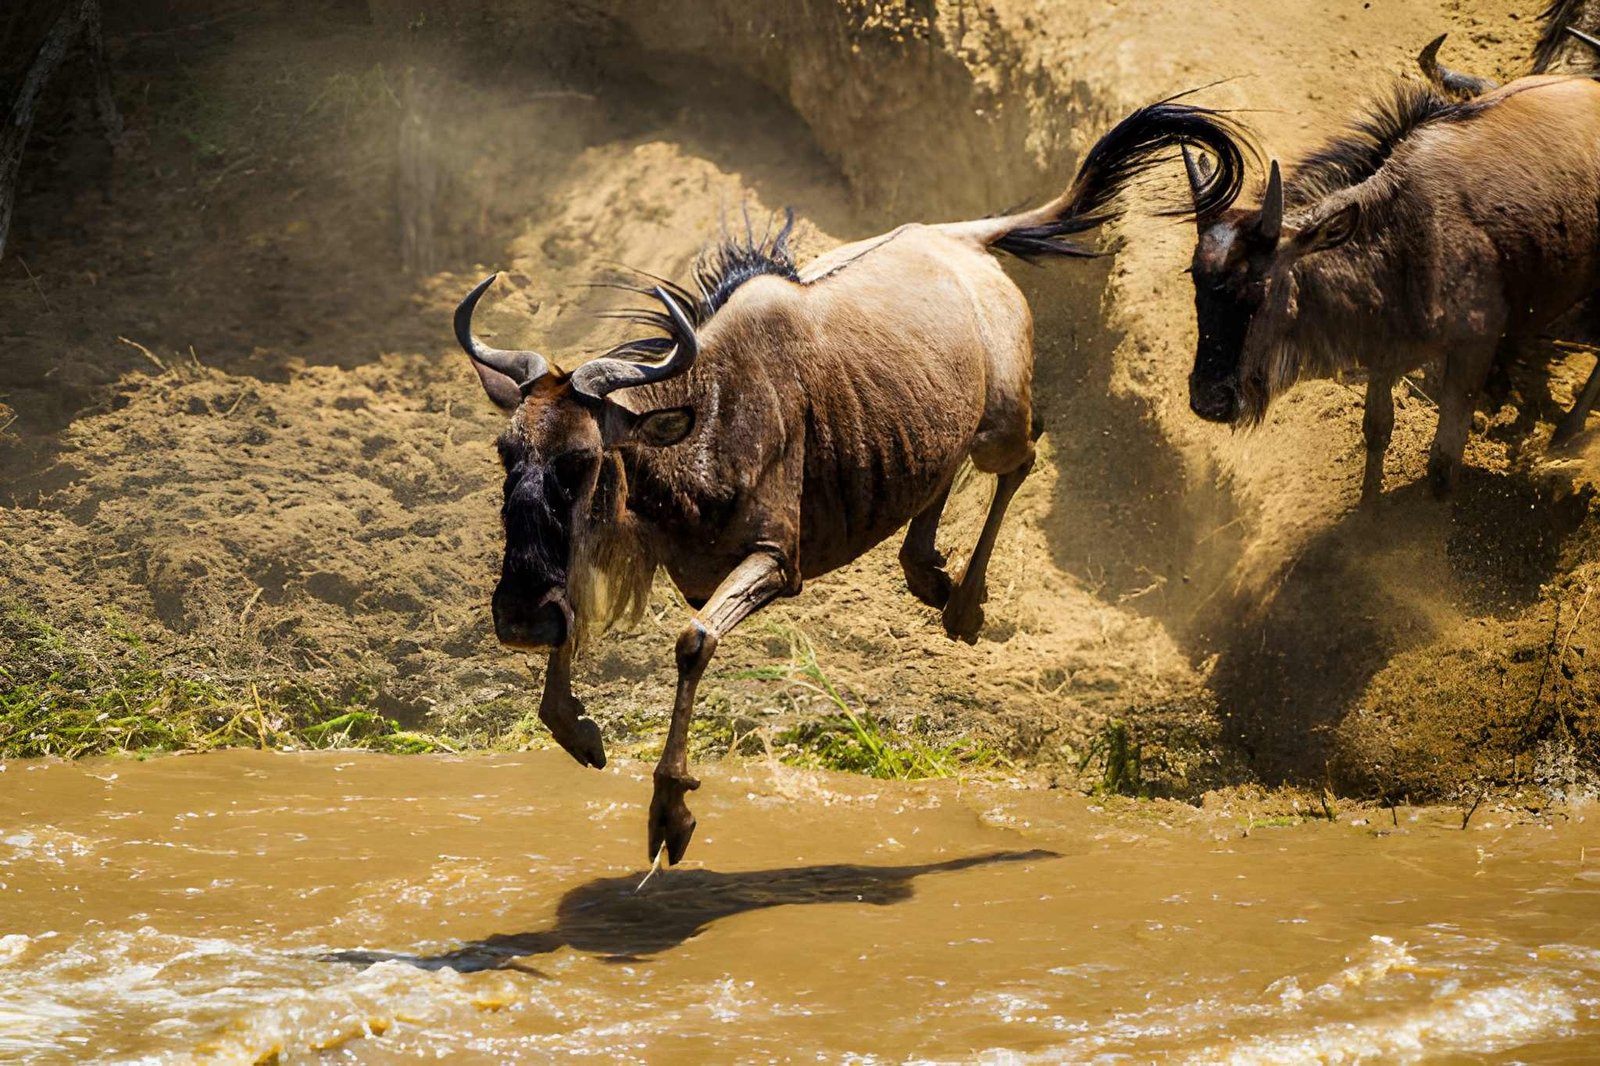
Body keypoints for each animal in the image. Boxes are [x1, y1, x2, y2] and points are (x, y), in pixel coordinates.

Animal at [455, 100, 1243, 864]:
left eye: (584, 462)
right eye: (506, 451)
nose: (518, 619)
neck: (705, 418)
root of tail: (961, 239)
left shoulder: (777, 562)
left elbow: (694, 641)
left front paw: (670, 810)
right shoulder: (616, 546)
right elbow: (573, 630)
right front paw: (580, 730)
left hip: (1000, 423)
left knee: (1022, 455)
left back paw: (963, 607)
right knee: (942, 472)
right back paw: (930, 575)